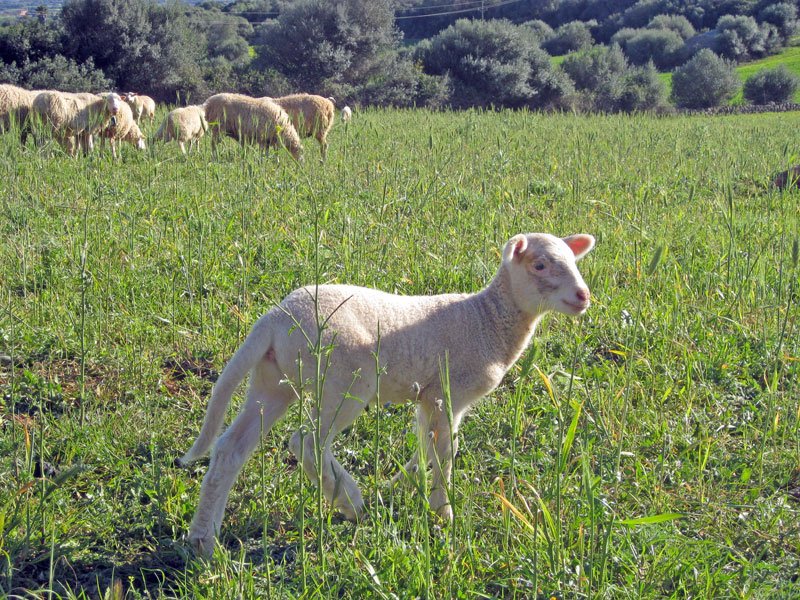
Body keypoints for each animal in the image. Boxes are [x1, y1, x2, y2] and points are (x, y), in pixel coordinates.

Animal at [179, 232, 596, 556]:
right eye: (539, 265)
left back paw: (203, 541)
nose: (583, 295)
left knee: (232, 448)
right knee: (306, 442)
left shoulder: (433, 398)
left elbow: (426, 446)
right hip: (345, 379)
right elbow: (445, 453)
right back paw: (350, 502)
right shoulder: (448, 392)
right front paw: (443, 513)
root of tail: (275, 317)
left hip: (274, 379)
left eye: (574, 262)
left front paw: (402, 485)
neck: (487, 319)